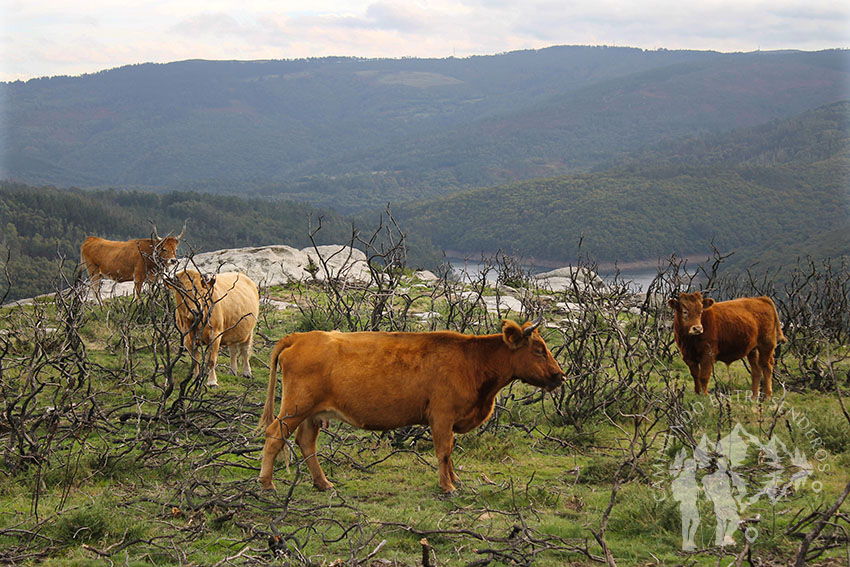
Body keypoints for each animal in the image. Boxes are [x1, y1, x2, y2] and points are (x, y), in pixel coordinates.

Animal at [256, 322, 564, 494]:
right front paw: (447, 486)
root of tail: (301, 336)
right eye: (538, 350)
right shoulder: (442, 416)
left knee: (307, 443)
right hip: (295, 408)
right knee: (274, 435)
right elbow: (444, 451)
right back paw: (267, 484)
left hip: (312, 413)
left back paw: (323, 483)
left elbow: (450, 453)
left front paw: (455, 479)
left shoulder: (449, 420)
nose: (560, 376)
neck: (472, 360)